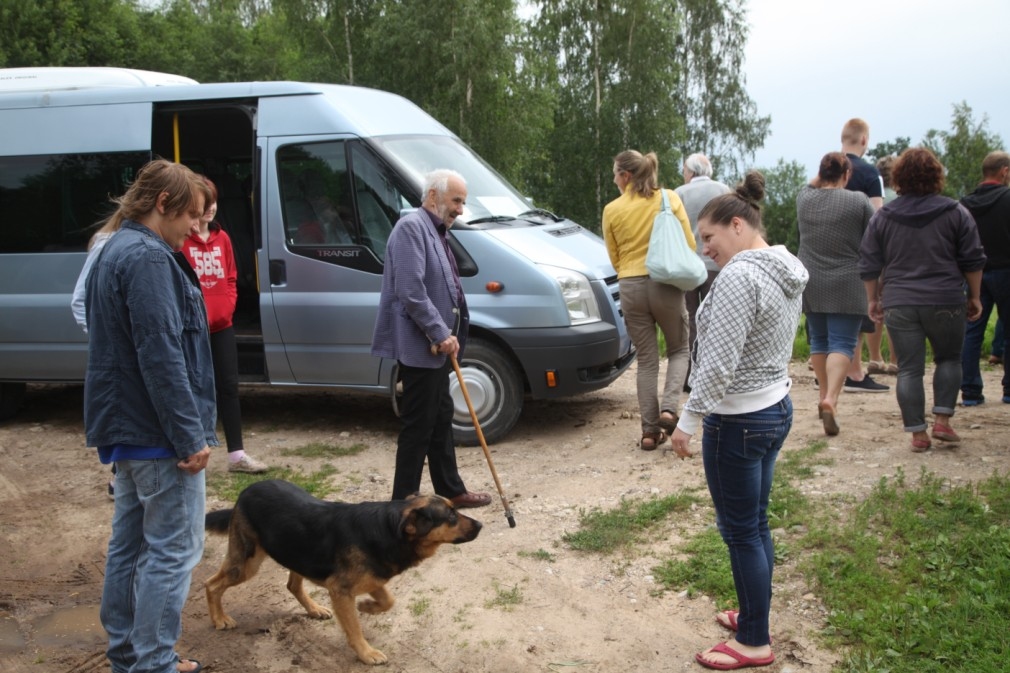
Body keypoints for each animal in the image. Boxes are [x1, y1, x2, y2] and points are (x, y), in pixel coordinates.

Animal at [203, 478, 482, 662]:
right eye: (451, 516)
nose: (480, 525)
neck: (390, 529)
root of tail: (247, 490)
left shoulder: (373, 578)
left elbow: (389, 600)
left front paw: (367, 607)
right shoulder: (341, 590)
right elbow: (354, 628)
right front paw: (367, 653)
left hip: (297, 553)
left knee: (292, 585)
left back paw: (314, 609)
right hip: (246, 564)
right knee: (211, 584)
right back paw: (219, 619)